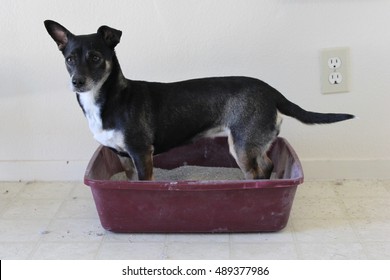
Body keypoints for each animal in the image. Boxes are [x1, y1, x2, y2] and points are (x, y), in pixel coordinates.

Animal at [44, 20, 354, 180]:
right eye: (69, 59)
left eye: (96, 57)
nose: (77, 82)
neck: (108, 99)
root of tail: (271, 90)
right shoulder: (124, 158)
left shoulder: (141, 153)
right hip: (253, 143)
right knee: (266, 166)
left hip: (241, 146)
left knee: (257, 171)